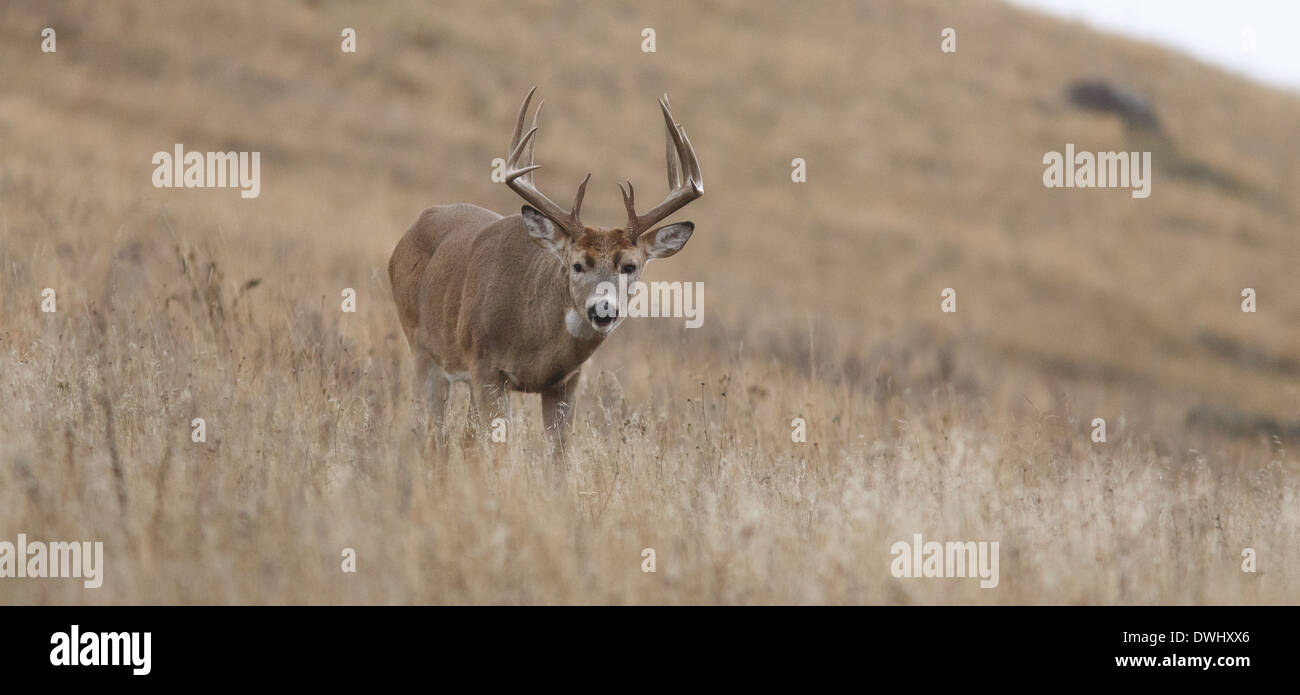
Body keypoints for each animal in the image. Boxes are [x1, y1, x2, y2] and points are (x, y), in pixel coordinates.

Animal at [390, 87, 707, 454]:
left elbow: (559, 455)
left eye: (630, 265)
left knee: (462, 437)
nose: (603, 309)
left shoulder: (566, 381)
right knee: (430, 429)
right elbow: (498, 449)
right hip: (423, 349)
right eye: (577, 264)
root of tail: (409, 232)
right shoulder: (485, 366)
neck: (534, 340)